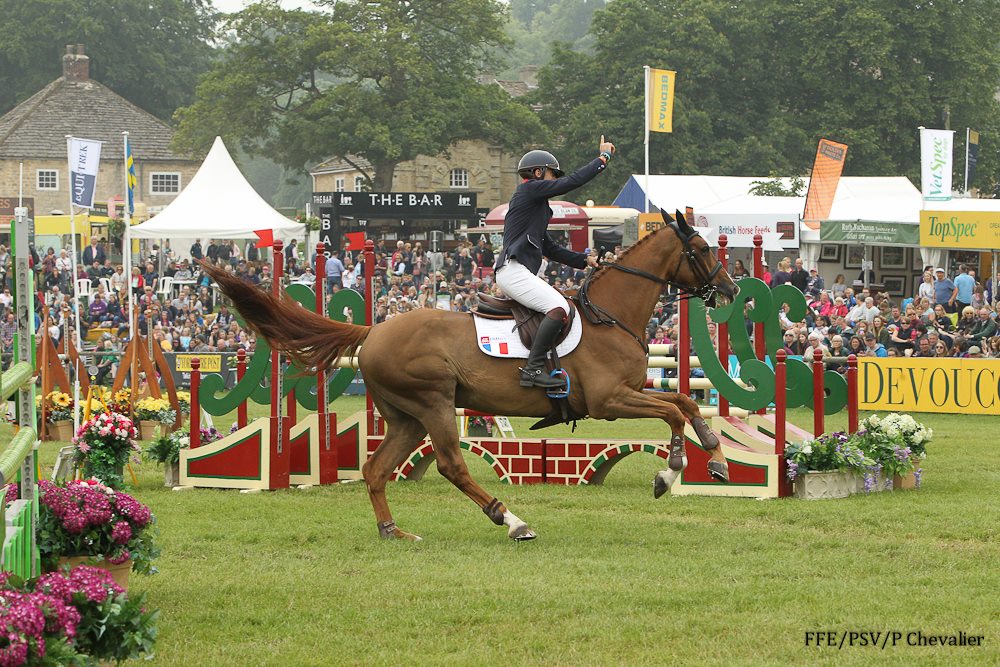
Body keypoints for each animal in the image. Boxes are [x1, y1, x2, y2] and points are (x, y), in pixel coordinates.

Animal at [203, 210, 736, 544]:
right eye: (702, 247)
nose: (730, 290)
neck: (611, 315)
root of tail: (373, 331)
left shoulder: (630, 391)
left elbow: (686, 404)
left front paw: (715, 458)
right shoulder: (608, 402)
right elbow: (673, 411)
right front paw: (670, 471)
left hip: (406, 418)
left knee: (377, 470)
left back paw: (394, 531)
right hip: (435, 403)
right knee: (451, 466)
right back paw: (512, 521)